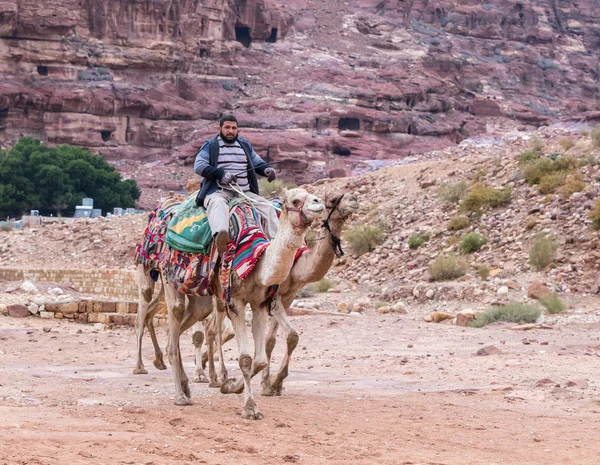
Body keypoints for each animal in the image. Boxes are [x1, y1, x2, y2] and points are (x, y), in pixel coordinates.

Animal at [162, 187, 324, 418]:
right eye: (295, 200)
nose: (319, 203)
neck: (257, 264)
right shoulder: (236, 302)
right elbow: (245, 359)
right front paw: (249, 408)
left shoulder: (260, 303)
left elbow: (259, 360)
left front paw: (231, 386)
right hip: (170, 278)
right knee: (175, 315)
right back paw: (180, 396)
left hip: (200, 298)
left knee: (180, 327)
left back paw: (186, 384)